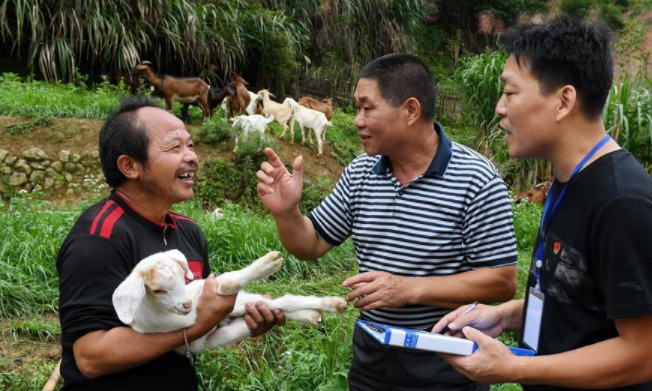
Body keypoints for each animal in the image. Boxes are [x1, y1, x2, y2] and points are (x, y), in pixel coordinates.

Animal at [112, 251, 348, 356]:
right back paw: (319, 311)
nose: (186, 304)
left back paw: (324, 308)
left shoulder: (200, 286)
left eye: (181, 276)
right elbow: (226, 284)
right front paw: (268, 264)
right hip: (219, 336)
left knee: (278, 302)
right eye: (157, 290)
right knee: (276, 304)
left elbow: (226, 283)